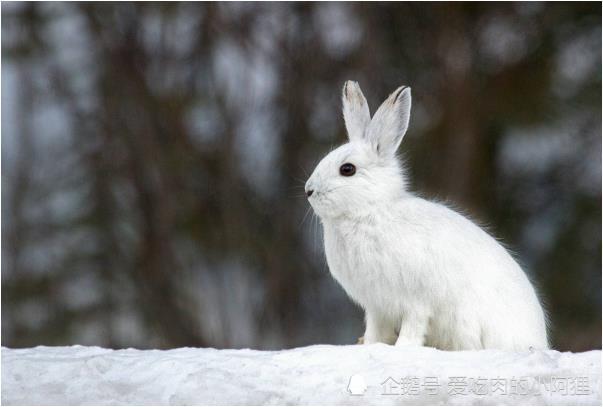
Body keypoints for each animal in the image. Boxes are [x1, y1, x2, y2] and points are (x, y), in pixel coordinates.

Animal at [310, 80, 548, 350]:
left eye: (347, 169)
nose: (309, 190)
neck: (369, 211)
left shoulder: (416, 302)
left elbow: (413, 326)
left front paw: (403, 348)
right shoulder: (377, 308)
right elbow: (375, 331)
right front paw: (369, 345)